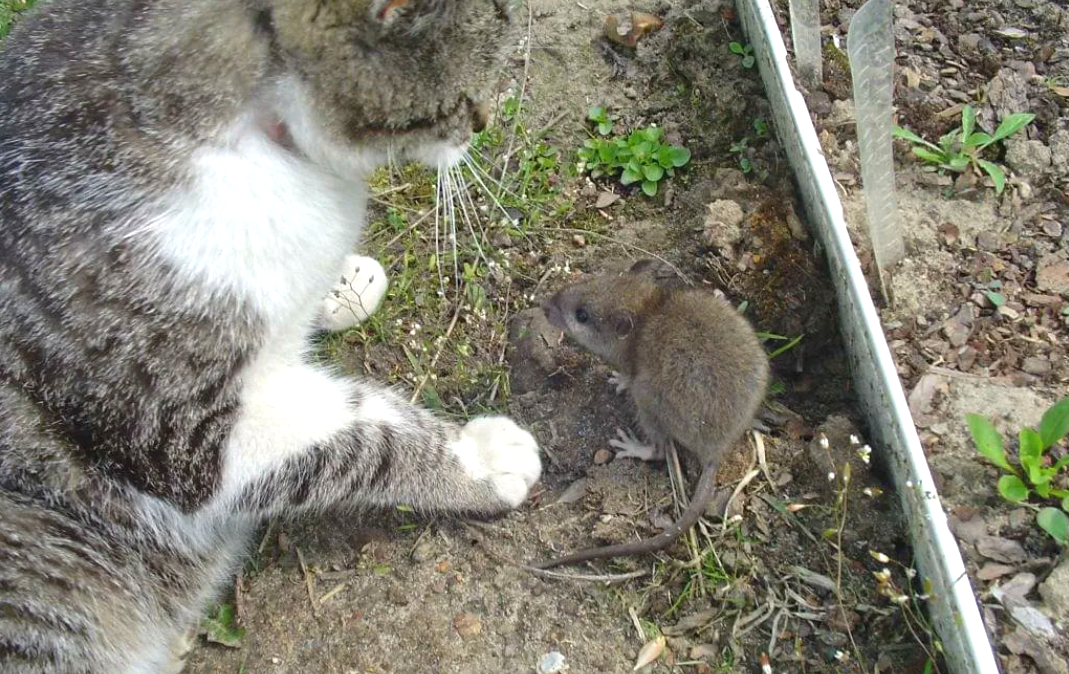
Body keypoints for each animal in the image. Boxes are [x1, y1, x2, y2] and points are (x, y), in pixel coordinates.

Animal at [0, 2, 543, 671]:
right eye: (463, 99)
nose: (486, 123)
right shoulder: (183, 432)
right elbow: (367, 438)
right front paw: (480, 458)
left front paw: (343, 284)